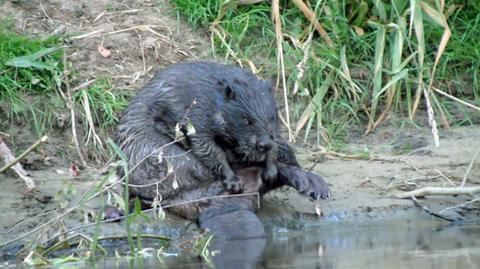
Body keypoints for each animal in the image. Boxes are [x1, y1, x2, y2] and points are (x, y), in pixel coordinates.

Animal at [125, 61, 280, 193]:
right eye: (247, 120)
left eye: (272, 117)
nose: (264, 144)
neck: (211, 94)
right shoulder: (197, 114)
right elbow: (207, 148)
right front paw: (234, 182)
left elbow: (277, 141)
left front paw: (271, 172)